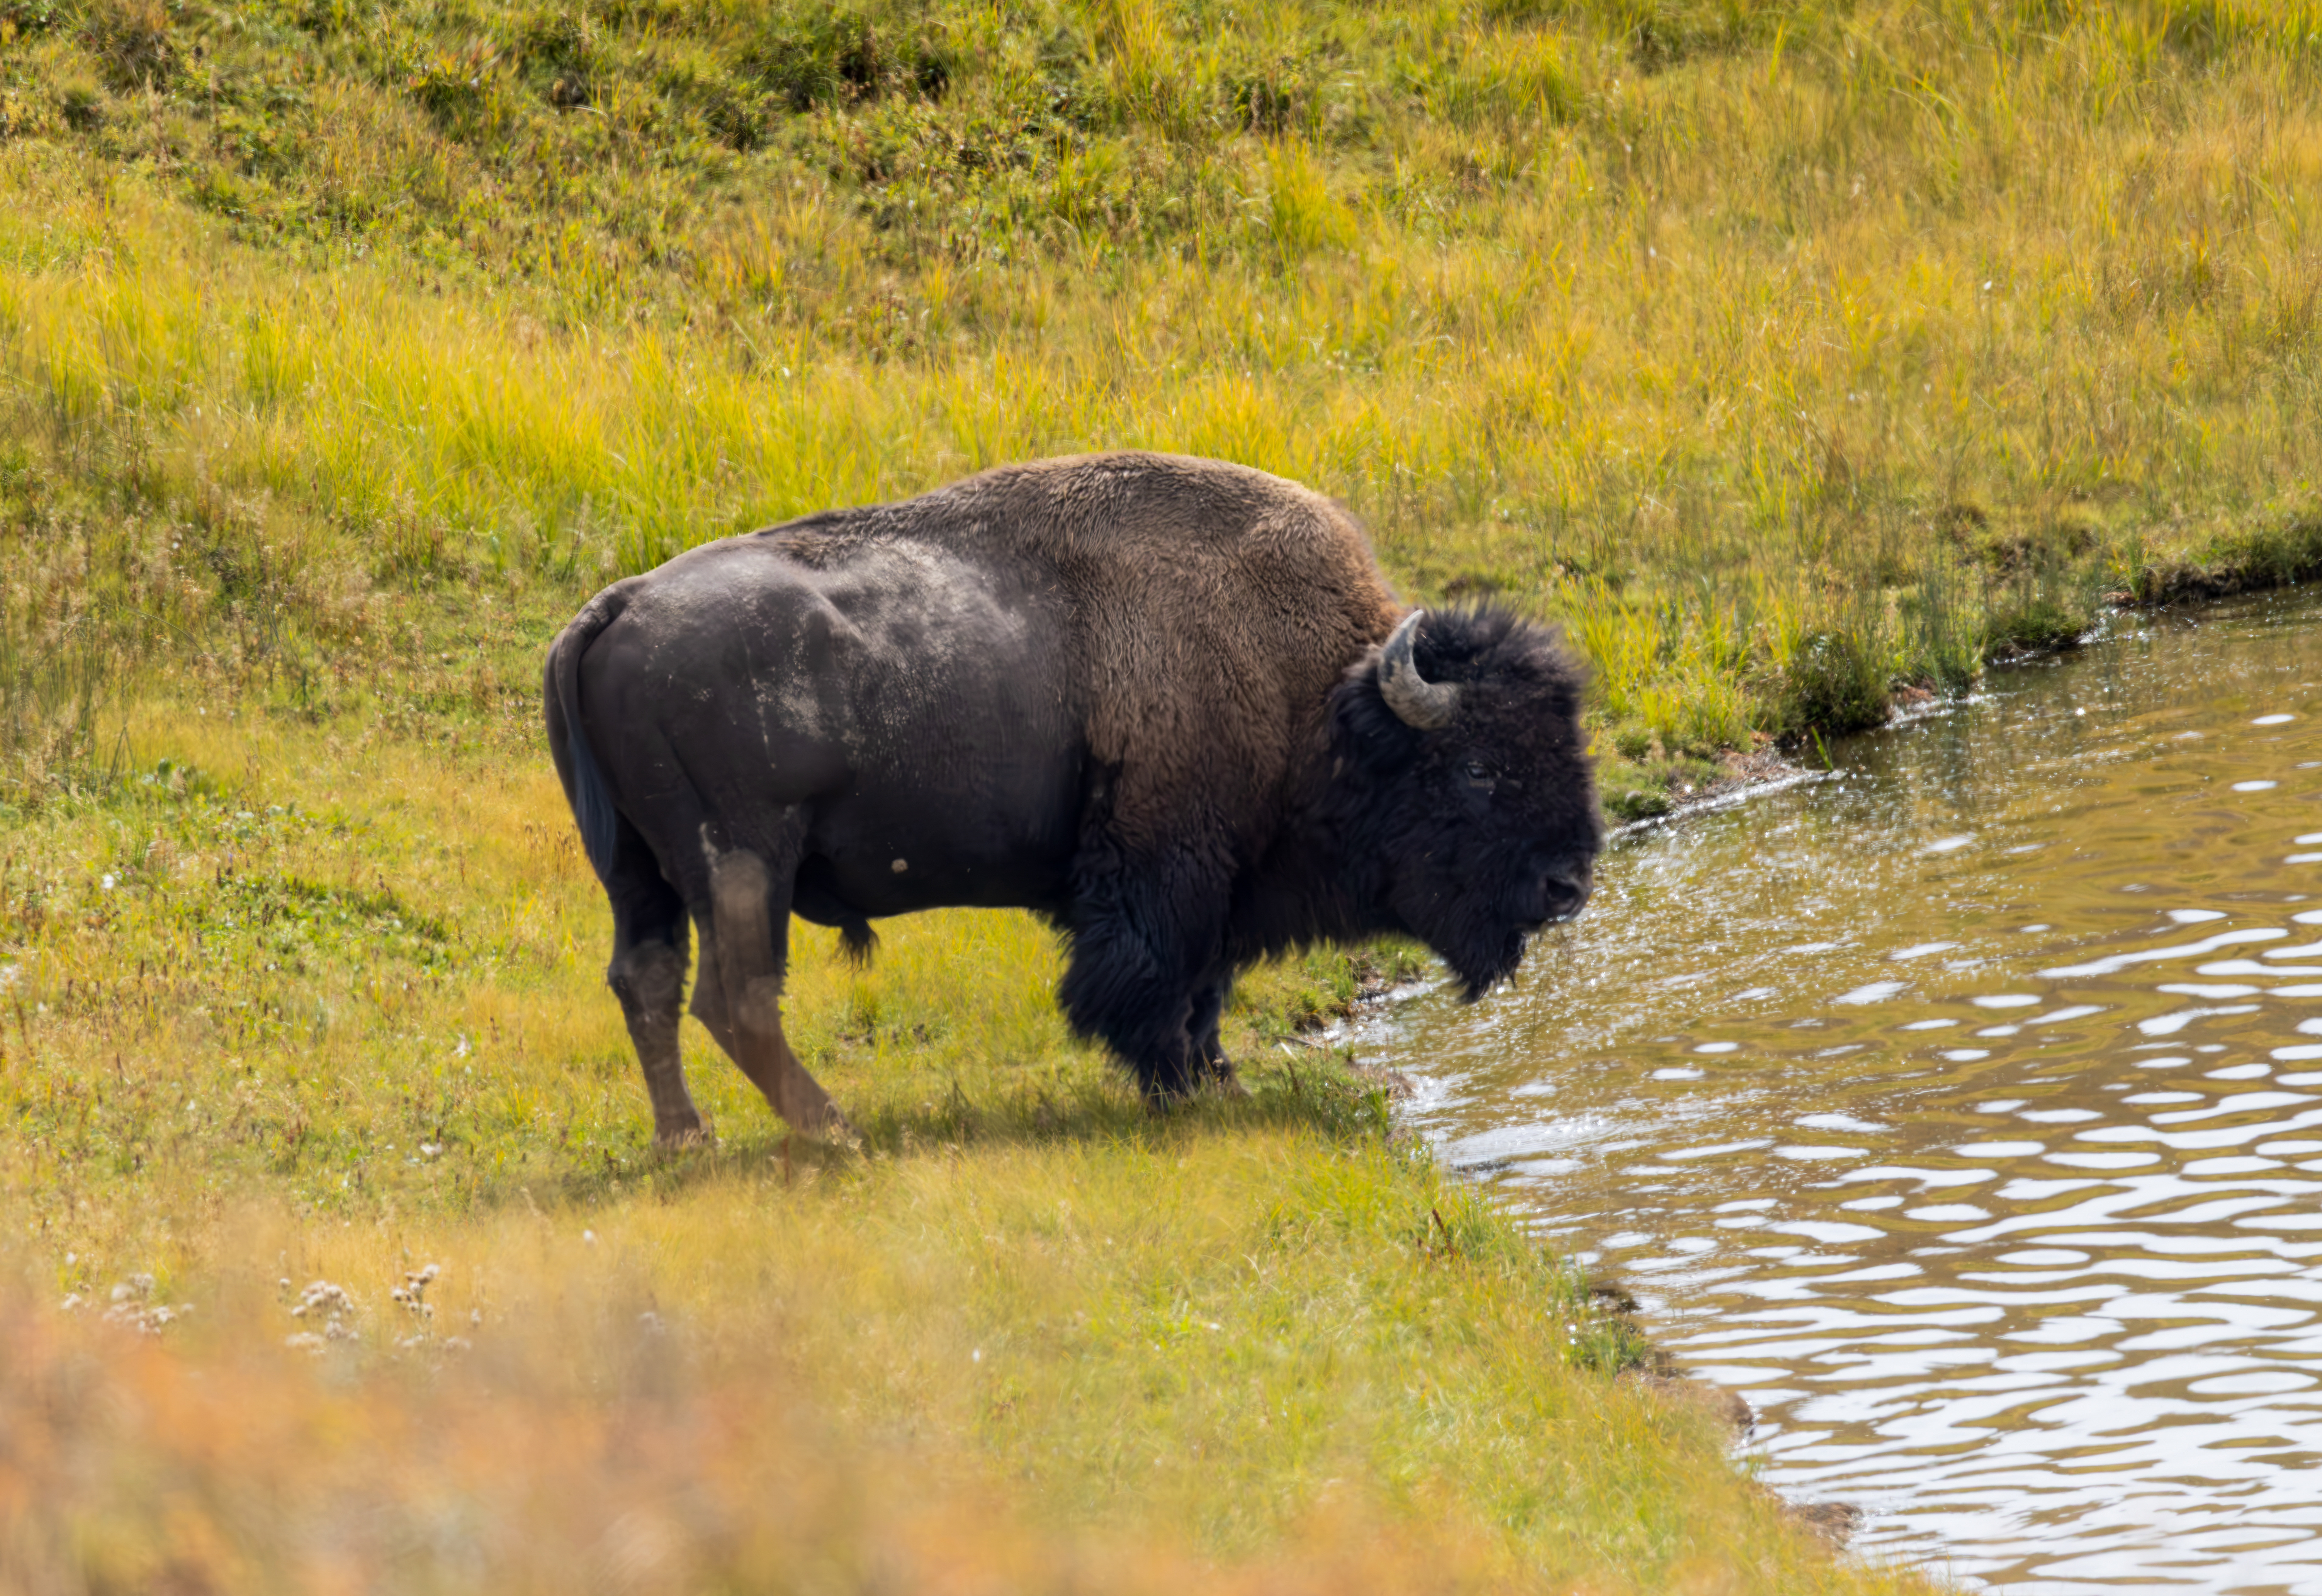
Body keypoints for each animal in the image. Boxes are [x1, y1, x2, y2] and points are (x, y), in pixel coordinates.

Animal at [544, 452, 1598, 1144]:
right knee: (735, 998)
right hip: (742, 860)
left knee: (648, 982)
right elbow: (1160, 986)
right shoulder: (1166, 870)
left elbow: (1206, 989)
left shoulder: (1214, 883)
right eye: (1475, 769)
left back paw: (688, 1141)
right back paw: (835, 1133)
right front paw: (1181, 1089)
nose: (1567, 885)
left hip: (638, 873)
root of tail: (617, 606)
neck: (1324, 693)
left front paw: (1217, 1082)